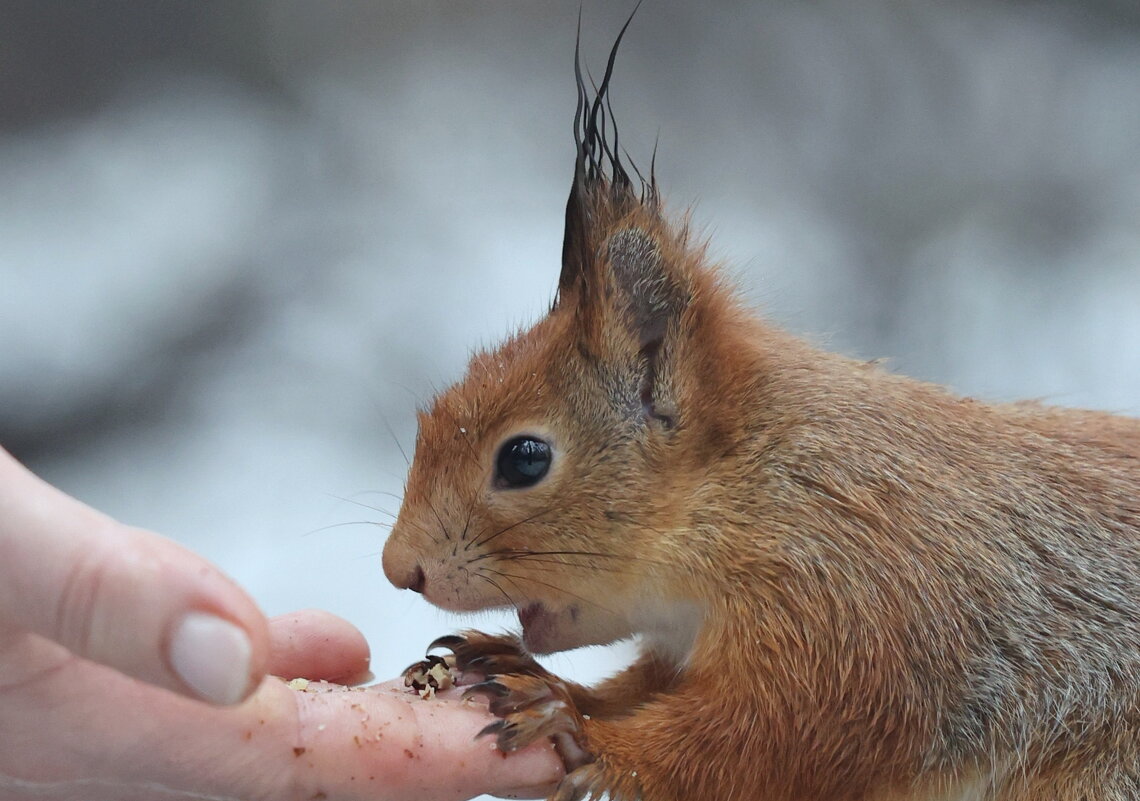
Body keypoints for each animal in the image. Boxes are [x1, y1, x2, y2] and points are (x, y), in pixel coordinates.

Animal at [383, 12, 1140, 801]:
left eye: (524, 458)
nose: (400, 568)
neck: (748, 485)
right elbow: (651, 687)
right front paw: (523, 670)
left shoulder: (852, 610)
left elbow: (762, 741)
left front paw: (574, 724)